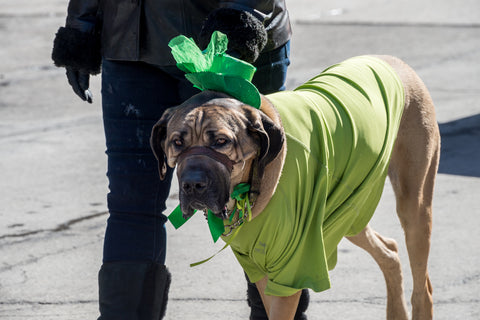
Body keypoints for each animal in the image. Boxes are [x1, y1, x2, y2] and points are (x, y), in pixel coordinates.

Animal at [150, 55, 438, 320]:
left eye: (222, 141)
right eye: (177, 143)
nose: (192, 184)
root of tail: (393, 61)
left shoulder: (292, 266)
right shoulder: (259, 267)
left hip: (413, 205)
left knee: (422, 287)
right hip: (347, 210)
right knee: (389, 249)